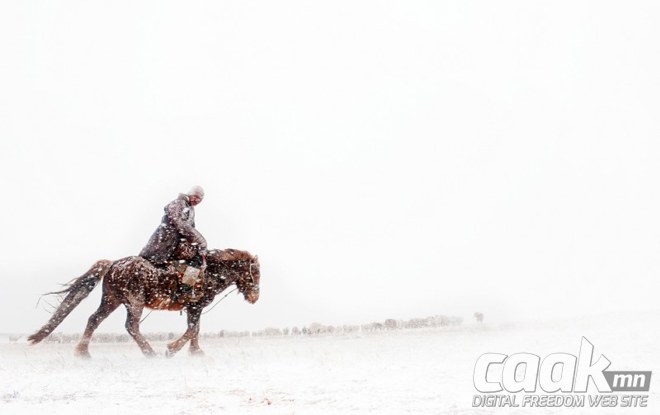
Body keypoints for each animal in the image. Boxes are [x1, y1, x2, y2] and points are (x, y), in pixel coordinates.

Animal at [28, 249, 260, 360]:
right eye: (256, 273)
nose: (255, 297)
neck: (210, 272)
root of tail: (113, 264)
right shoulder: (195, 306)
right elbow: (193, 329)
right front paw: (172, 349)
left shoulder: (195, 308)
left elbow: (195, 329)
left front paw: (195, 352)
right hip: (134, 302)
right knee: (131, 326)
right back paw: (149, 352)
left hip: (112, 300)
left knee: (94, 319)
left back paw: (82, 352)